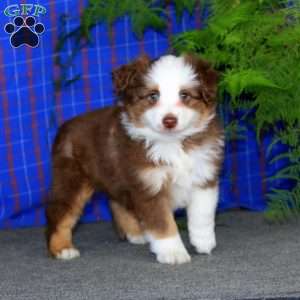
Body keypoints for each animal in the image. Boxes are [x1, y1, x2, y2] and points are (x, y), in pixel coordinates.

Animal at [45, 54, 224, 264]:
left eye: (185, 95)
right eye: (153, 96)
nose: (169, 121)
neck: (173, 143)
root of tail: (65, 126)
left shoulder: (203, 177)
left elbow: (203, 214)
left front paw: (204, 242)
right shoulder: (150, 186)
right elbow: (163, 222)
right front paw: (173, 252)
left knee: (117, 202)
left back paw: (136, 234)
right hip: (72, 179)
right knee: (60, 211)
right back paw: (62, 249)